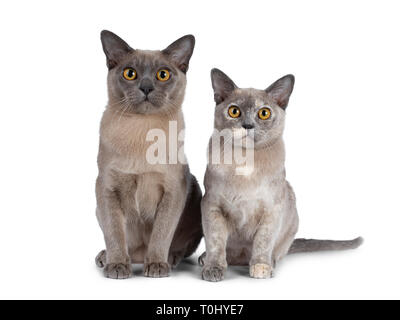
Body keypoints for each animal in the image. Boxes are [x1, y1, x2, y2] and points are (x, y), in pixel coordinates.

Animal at [94, 31, 203, 278]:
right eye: (130, 73)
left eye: (163, 75)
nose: (146, 87)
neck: (142, 131)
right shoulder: (107, 187)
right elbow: (114, 233)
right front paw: (117, 266)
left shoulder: (173, 189)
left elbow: (161, 234)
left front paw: (156, 265)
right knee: (128, 246)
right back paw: (108, 258)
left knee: (176, 246)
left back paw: (168, 260)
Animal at [200, 69, 362, 282]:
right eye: (234, 111)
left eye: (264, 113)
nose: (248, 125)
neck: (246, 162)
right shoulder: (212, 206)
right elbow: (216, 242)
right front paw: (213, 268)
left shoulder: (272, 209)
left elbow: (263, 242)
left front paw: (260, 267)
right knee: (229, 253)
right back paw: (205, 259)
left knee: (272, 252)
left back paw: (269, 264)